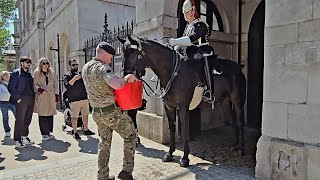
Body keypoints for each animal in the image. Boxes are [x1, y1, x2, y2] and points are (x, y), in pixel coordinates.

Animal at [119, 35, 246, 167]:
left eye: (132, 52)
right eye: (123, 53)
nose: (124, 78)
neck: (172, 71)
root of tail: (238, 68)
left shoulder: (183, 107)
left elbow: (184, 130)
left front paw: (185, 158)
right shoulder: (169, 107)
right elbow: (172, 128)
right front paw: (169, 154)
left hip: (238, 101)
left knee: (240, 122)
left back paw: (241, 148)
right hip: (226, 102)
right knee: (234, 122)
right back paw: (235, 145)